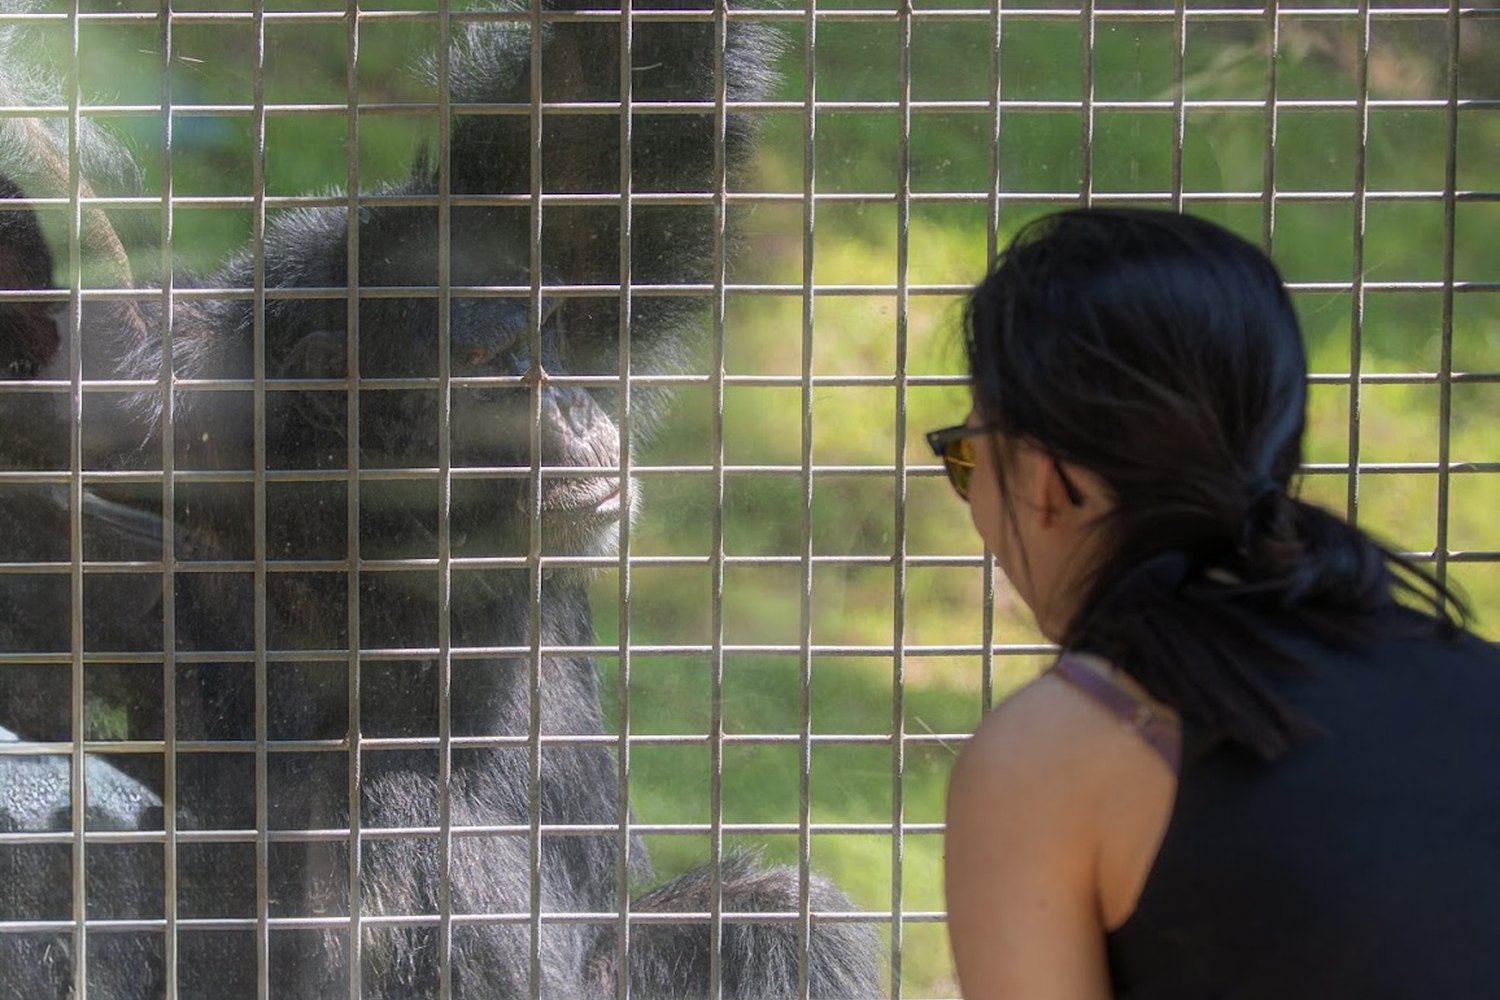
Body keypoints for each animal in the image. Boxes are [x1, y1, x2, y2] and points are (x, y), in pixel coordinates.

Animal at [0, 1, 880, 997]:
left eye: (545, 331)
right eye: (491, 365)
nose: (566, 403)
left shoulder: (550, 245)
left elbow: (609, 94)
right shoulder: (149, 400)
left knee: (773, 920)